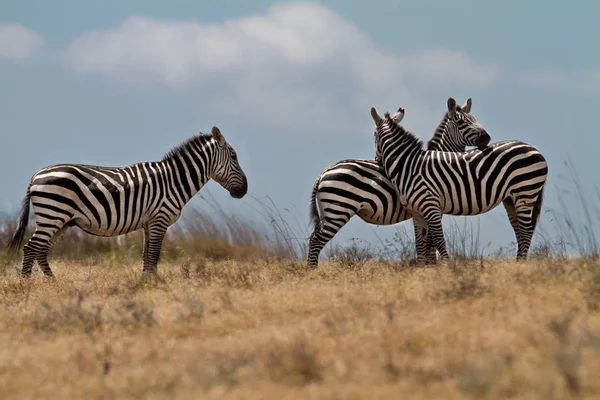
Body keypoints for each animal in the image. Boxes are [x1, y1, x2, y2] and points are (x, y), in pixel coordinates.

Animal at [7, 126, 246, 276]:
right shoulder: (159, 219)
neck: (173, 180)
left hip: (60, 221)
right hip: (52, 214)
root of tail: (36, 175)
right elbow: (154, 254)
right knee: (31, 248)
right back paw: (27, 285)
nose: (244, 190)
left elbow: (147, 256)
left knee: (41, 250)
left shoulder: (149, 222)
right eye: (234, 156)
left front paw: (146, 283)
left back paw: (53, 284)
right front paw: (153, 285)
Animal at [308, 97, 490, 268]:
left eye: (474, 119)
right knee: (316, 241)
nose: (486, 137)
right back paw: (313, 272)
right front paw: (432, 265)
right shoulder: (432, 207)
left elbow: (426, 242)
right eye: (461, 122)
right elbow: (431, 242)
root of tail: (323, 173)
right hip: (338, 210)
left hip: (328, 211)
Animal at [370, 101, 548, 260]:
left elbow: (437, 240)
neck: (408, 165)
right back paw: (518, 263)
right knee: (520, 231)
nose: (376, 160)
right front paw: (424, 269)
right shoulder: (417, 211)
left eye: (373, 135)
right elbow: (420, 244)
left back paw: (521, 264)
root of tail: (534, 148)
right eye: (461, 121)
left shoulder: (431, 207)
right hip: (511, 198)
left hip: (525, 192)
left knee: (526, 231)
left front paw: (445, 266)